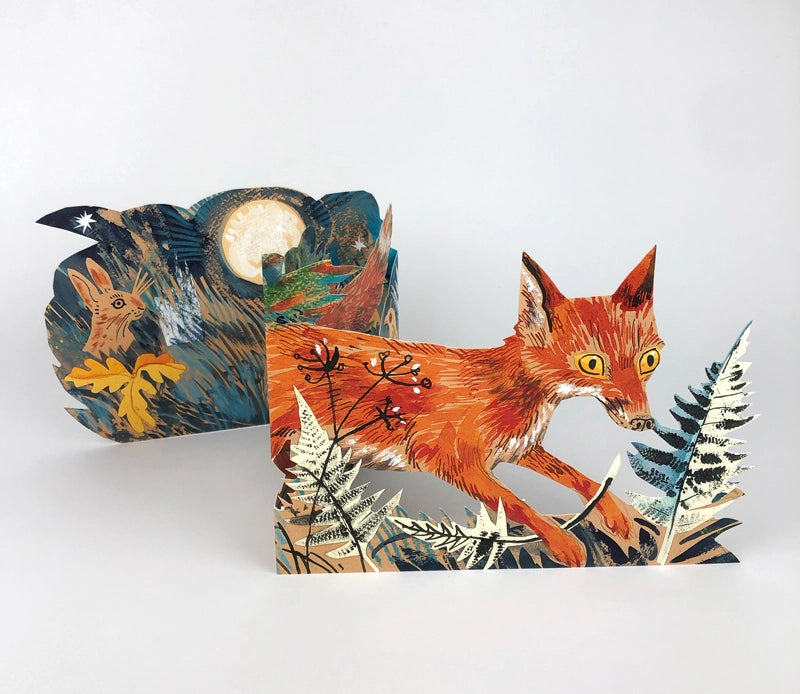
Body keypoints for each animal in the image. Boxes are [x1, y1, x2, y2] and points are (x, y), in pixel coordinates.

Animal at [266, 248, 663, 567]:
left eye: (650, 359)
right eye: (592, 364)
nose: (644, 421)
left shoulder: (519, 448)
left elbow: (578, 477)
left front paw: (616, 514)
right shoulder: (451, 461)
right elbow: (516, 504)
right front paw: (563, 542)